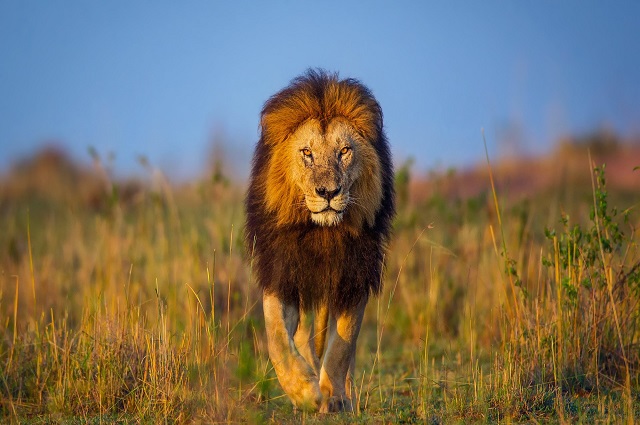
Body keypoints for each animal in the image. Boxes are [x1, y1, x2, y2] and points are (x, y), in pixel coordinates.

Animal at [245, 69, 395, 412]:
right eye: (307, 153)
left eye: (344, 151)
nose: (328, 192)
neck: (322, 233)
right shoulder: (282, 273)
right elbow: (277, 338)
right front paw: (305, 391)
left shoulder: (353, 275)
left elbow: (342, 345)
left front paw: (334, 396)